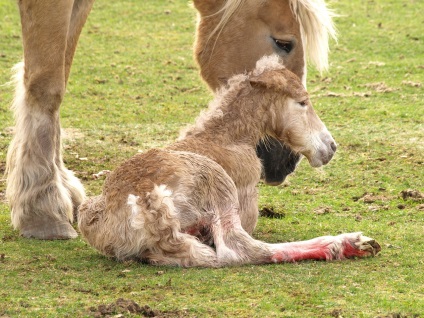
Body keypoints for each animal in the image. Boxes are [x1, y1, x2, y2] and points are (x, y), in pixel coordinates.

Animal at [77, 56, 380, 268]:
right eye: (303, 102)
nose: (330, 147)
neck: (227, 137)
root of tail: (143, 205)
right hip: (217, 184)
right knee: (240, 250)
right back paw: (350, 244)